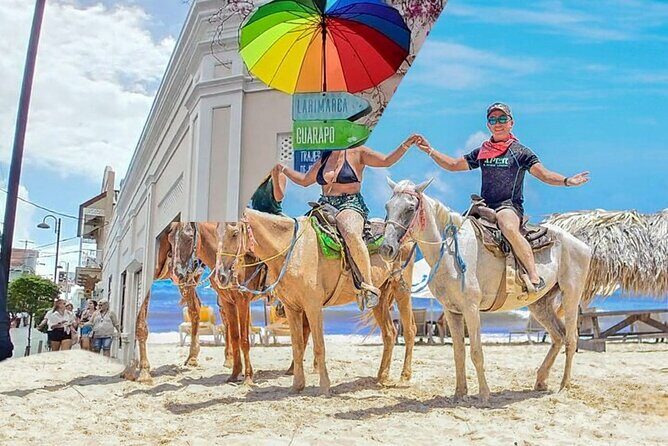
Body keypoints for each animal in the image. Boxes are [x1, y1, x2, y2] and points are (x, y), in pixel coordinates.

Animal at [216, 209, 417, 394]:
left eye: (234, 233)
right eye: (217, 231)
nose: (221, 276)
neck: (292, 249)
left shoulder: (313, 307)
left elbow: (319, 346)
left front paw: (325, 386)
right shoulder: (292, 308)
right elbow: (297, 346)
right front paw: (297, 385)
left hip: (401, 290)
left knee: (409, 331)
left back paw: (405, 376)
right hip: (380, 299)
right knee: (390, 333)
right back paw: (382, 376)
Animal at [379, 179, 592, 403]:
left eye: (410, 208)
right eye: (387, 207)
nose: (386, 249)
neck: (450, 251)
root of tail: (581, 244)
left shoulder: (471, 309)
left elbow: (476, 352)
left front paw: (484, 394)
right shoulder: (451, 311)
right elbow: (458, 353)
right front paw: (460, 393)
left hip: (571, 295)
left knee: (571, 339)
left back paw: (564, 385)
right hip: (539, 304)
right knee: (558, 336)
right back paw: (541, 380)